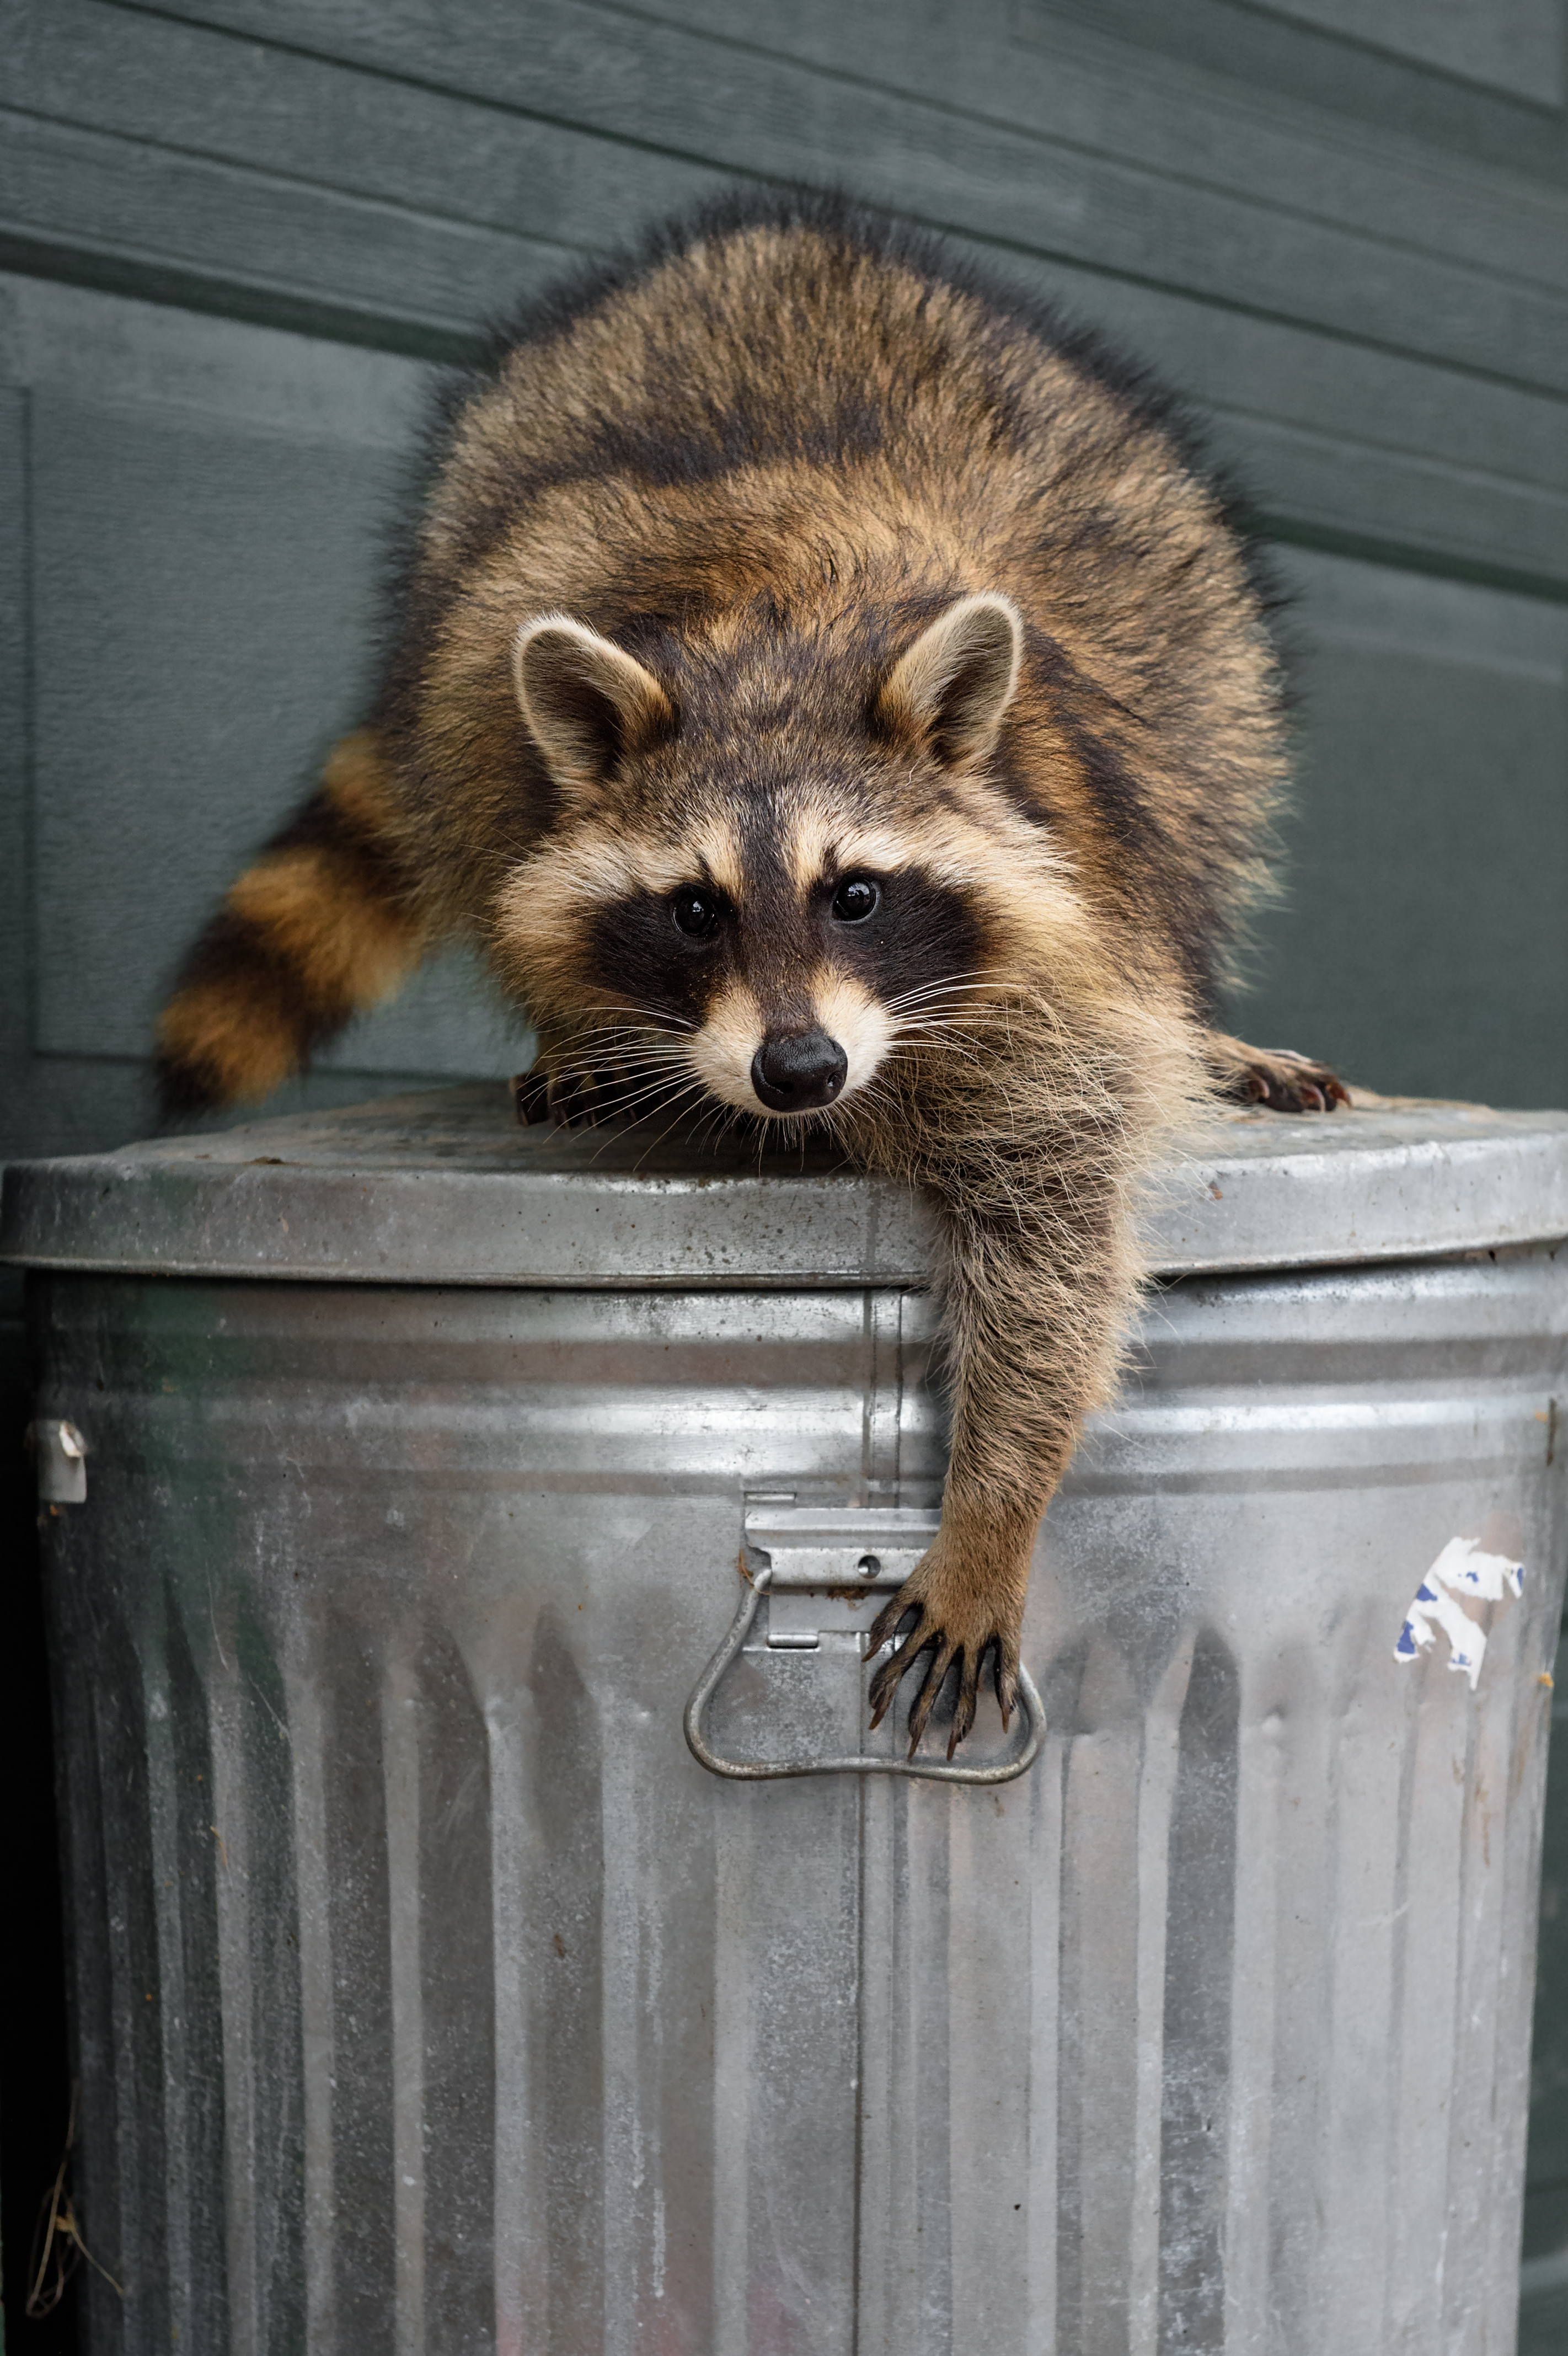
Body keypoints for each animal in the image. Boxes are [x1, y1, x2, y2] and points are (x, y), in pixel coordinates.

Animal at [156, 190, 1345, 1756]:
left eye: (857, 896)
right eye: (692, 912)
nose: (798, 1070)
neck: (771, 638)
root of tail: (792, 238)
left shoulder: (1061, 953)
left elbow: (1055, 1245)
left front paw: (994, 1509)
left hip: (1177, 611)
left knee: (1205, 772)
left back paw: (1206, 1027)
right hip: (473, 613)